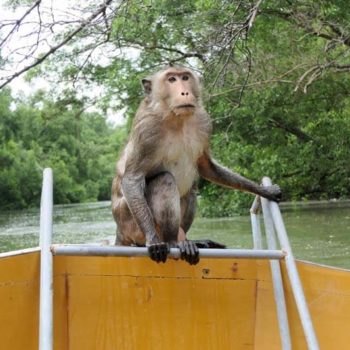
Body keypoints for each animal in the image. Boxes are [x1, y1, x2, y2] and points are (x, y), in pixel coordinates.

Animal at [112, 65, 282, 266]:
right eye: (171, 79)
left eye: (185, 77)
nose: (185, 92)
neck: (176, 117)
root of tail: (119, 232)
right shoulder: (147, 130)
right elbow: (132, 178)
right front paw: (153, 240)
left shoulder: (204, 122)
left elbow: (207, 166)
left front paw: (265, 190)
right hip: (129, 222)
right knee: (164, 180)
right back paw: (171, 241)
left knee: (191, 191)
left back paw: (187, 241)